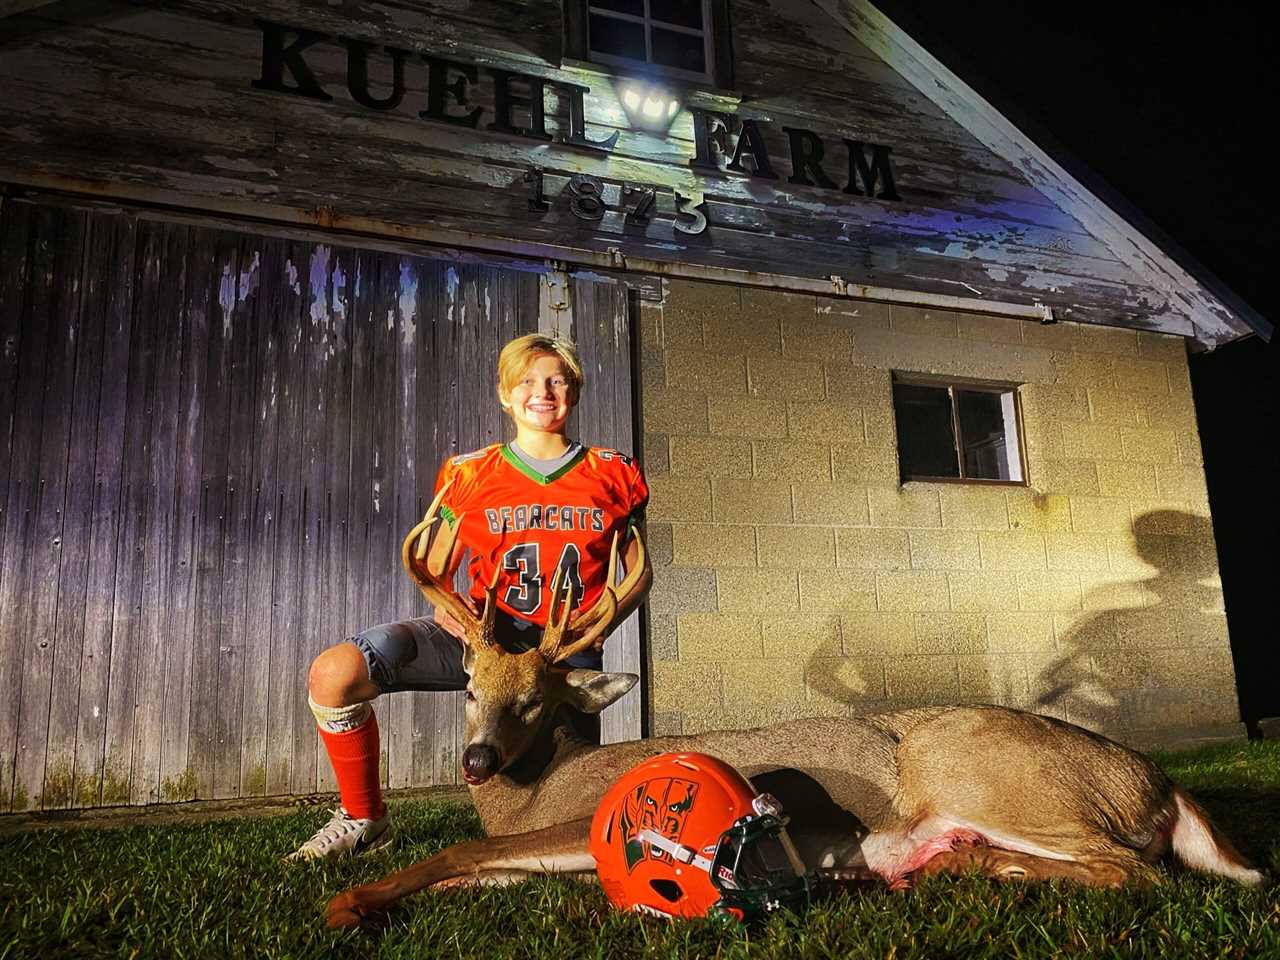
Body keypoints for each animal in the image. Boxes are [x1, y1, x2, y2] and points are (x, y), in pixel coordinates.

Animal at [325, 491, 1264, 926]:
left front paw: (349, 902)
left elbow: (459, 843)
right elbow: (471, 861)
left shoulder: (583, 821)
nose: (475, 759)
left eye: (535, 699)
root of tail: (1162, 785)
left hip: (990, 776)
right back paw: (942, 866)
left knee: (1136, 870)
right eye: (470, 688)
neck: (533, 788)